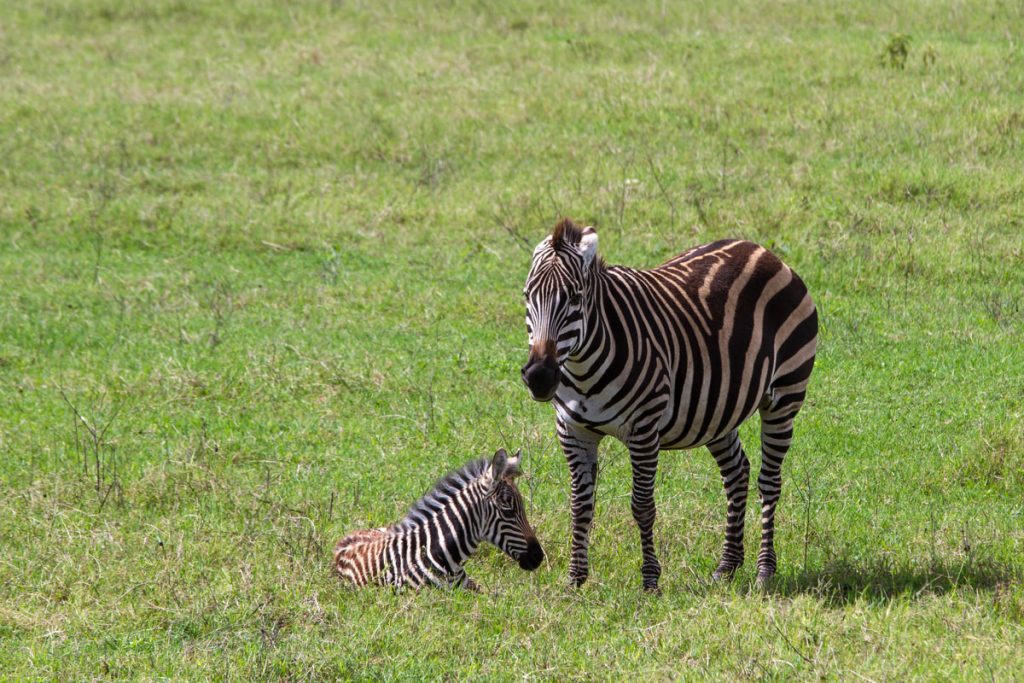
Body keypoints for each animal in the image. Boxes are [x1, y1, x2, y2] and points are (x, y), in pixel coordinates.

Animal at [520, 220, 815, 593]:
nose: (539, 377)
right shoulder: (572, 431)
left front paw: (650, 581)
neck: (582, 367)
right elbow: (580, 505)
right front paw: (575, 579)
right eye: (527, 296)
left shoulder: (644, 430)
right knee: (737, 473)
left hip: (784, 396)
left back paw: (765, 570)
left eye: (575, 298)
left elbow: (642, 506)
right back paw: (727, 566)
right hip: (716, 409)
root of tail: (760, 249)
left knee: (769, 482)